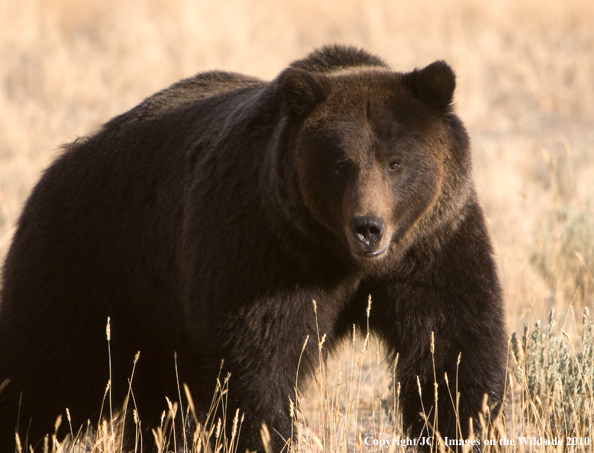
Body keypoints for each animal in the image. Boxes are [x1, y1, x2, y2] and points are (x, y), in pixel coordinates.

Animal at [0, 44, 504, 450]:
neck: (339, 259)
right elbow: (257, 371)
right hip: (92, 266)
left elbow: (450, 352)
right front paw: (266, 434)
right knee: (47, 374)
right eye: (340, 164)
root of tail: (59, 165)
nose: (368, 228)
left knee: (156, 402)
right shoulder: (263, 251)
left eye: (396, 162)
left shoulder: (432, 245)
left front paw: (461, 427)